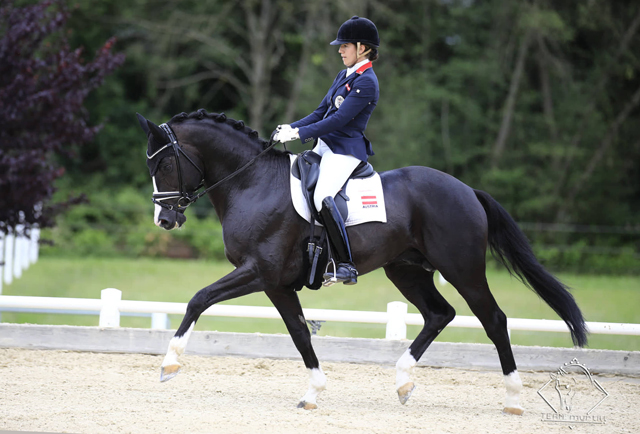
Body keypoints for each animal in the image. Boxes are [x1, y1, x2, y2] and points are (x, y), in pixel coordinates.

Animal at [138, 109, 588, 414]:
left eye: (164, 163)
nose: (164, 220)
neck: (252, 183)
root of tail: (466, 190)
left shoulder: (259, 272)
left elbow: (199, 298)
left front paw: (169, 364)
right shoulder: (277, 284)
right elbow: (299, 333)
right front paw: (313, 393)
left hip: (463, 269)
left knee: (493, 320)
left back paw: (513, 398)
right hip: (406, 270)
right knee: (439, 314)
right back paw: (404, 382)